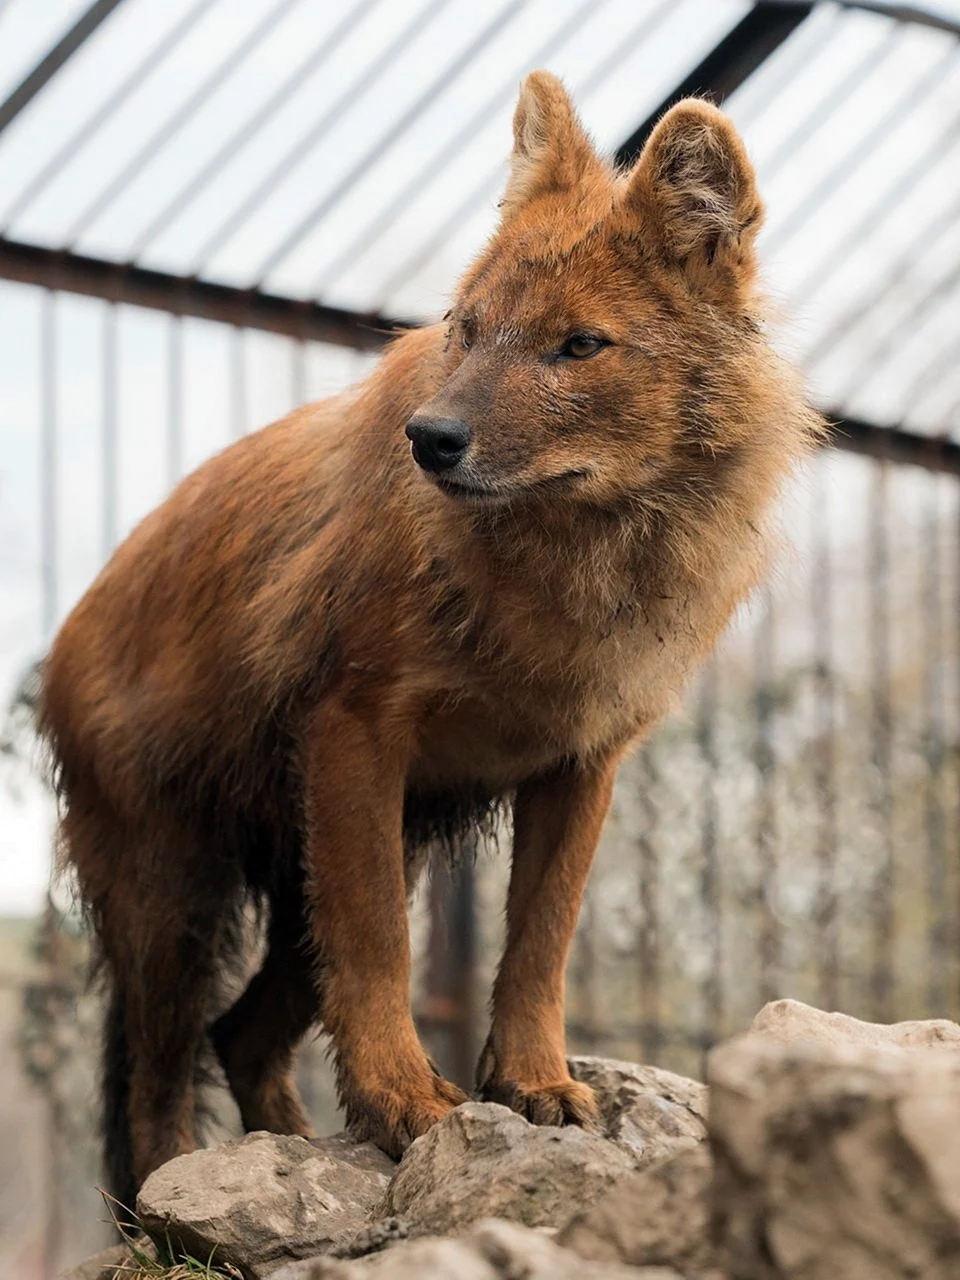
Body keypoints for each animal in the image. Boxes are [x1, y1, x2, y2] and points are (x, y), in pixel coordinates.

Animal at [39, 72, 820, 1205]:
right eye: (467, 327)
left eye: (578, 344)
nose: (429, 439)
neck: (558, 573)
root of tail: (74, 622)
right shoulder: (354, 730)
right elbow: (380, 951)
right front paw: (408, 1099)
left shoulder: (583, 762)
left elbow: (540, 941)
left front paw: (533, 1084)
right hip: (172, 893)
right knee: (156, 1080)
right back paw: (175, 1193)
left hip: (322, 863)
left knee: (241, 1033)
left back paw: (296, 1151)